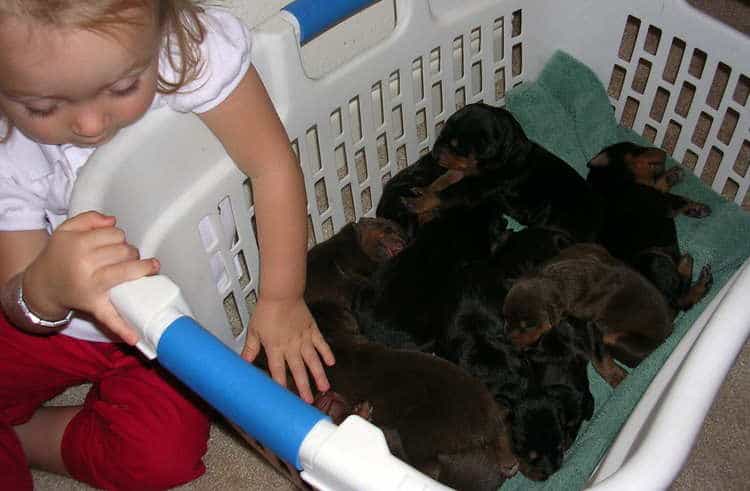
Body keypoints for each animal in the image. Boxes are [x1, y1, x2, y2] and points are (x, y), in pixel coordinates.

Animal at [402, 103, 604, 242]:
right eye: (442, 135)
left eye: (456, 146)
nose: (434, 155)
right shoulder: (467, 171)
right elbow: (445, 178)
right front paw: (424, 189)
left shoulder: (479, 187)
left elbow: (447, 193)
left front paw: (416, 203)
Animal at [588, 142, 716, 312]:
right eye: (637, 149)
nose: (663, 152)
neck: (613, 181)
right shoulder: (662, 202)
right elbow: (678, 199)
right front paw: (698, 206)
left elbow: (660, 184)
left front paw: (673, 175)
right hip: (653, 259)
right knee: (680, 297)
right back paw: (690, 267)